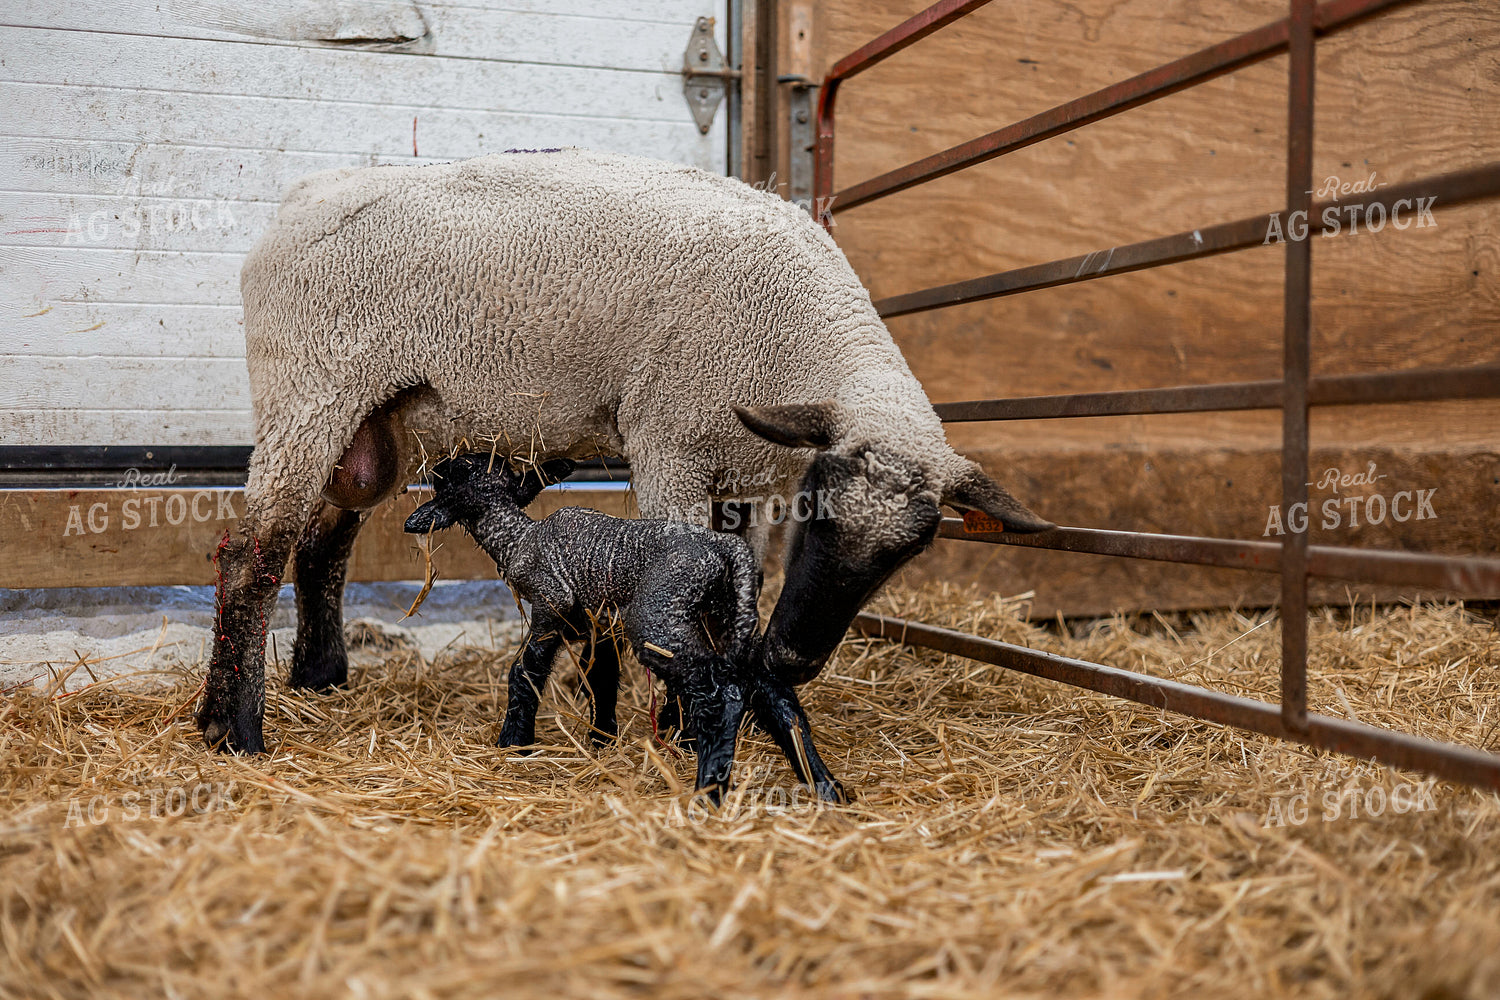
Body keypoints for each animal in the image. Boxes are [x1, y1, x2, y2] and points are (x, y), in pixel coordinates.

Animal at [197, 147, 1051, 753]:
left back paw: (314, 680)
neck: (801, 337)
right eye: (814, 512)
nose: (797, 656)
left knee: (321, 546)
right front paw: (679, 729)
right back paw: (234, 731)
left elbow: (728, 585)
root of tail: (304, 196)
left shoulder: (734, 475)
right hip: (310, 386)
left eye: (913, 550)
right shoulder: (669, 440)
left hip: (381, 423)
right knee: (252, 555)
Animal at [402, 453, 846, 803]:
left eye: (459, 467)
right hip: (728, 620)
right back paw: (825, 786)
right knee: (773, 692)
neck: (519, 538)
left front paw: (514, 743)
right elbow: (600, 679)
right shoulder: (600, 628)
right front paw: (602, 740)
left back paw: (708, 793)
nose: (436, 464)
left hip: (658, 619)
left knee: (722, 694)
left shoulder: (549, 607)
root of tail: (728, 550)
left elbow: (524, 673)